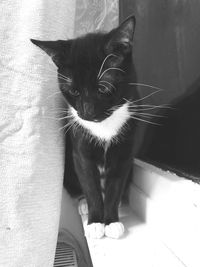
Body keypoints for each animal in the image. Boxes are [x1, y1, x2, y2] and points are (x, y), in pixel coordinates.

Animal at [31, 15, 141, 240]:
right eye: (73, 91)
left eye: (104, 87)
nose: (87, 113)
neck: (105, 128)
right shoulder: (80, 149)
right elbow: (89, 185)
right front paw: (95, 222)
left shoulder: (125, 151)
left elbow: (115, 185)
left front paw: (111, 221)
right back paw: (82, 205)